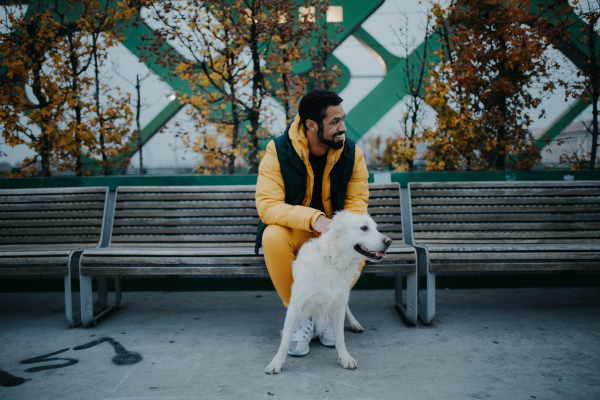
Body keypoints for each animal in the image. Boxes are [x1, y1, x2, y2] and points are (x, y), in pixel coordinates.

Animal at [264, 211, 392, 374]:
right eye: (364, 228)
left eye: (376, 228)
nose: (389, 241)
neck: (333, 262)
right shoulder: (296, 306)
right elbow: (285, 340)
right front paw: (277, 362)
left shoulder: (338, 304)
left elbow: (340, 339)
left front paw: (345, 358)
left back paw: (354, 323)